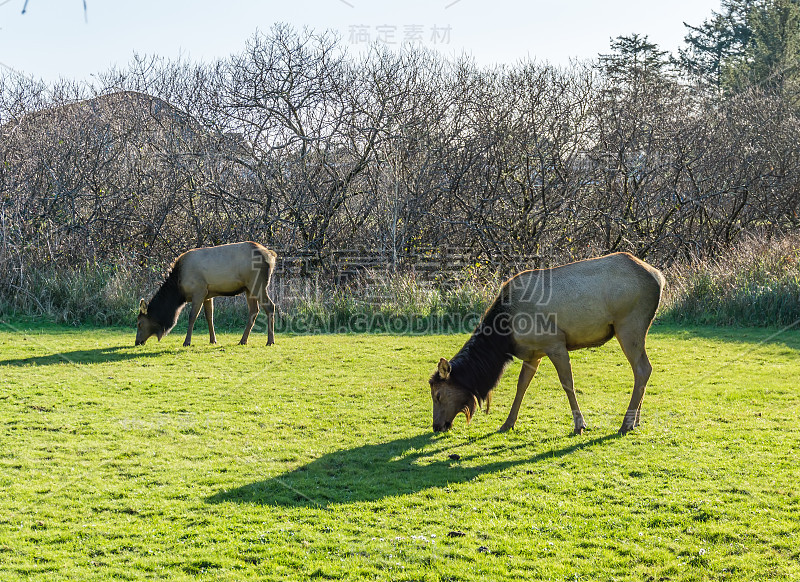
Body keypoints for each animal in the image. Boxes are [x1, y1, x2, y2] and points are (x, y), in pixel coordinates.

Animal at [136, 242, 276, 346]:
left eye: (139, 323)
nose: (137, 342)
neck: (178, 290)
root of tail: (271, 256)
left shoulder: (199, 291)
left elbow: (192, 317)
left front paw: (187, 342)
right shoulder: (208, 295)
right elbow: (209, 316)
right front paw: (213, 340)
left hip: (258, 283)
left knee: (270, 306)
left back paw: (270, 341)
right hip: (248, 288)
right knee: (254, 310)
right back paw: (243, 340)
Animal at [428, 253, 664, 436]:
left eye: (438, 395)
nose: (436, 426)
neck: (504, 336)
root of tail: (659, 278)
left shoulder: (555, 343)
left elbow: (567, 383)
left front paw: (580, 425)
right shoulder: (533, 354)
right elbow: (521, 386)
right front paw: (507, 424)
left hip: (629, 324)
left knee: (643, 368)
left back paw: (626, 424)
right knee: (643, 369)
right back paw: (636, 421)